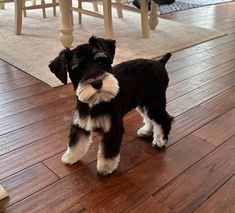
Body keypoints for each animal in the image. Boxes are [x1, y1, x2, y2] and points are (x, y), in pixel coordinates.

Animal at [48, 35, 173, 176]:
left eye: (100, 62)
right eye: (78, 70)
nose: (97, 83)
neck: (94, 103)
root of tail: (160, 62)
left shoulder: (112, 127)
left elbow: (108, 151)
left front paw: (106, 167)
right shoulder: (80, 124)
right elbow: (75, 143)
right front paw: (70, 157)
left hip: (154, 102)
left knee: (164, 119)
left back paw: (160, 141)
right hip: (143, 103)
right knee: (149, 118)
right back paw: (146, 131)